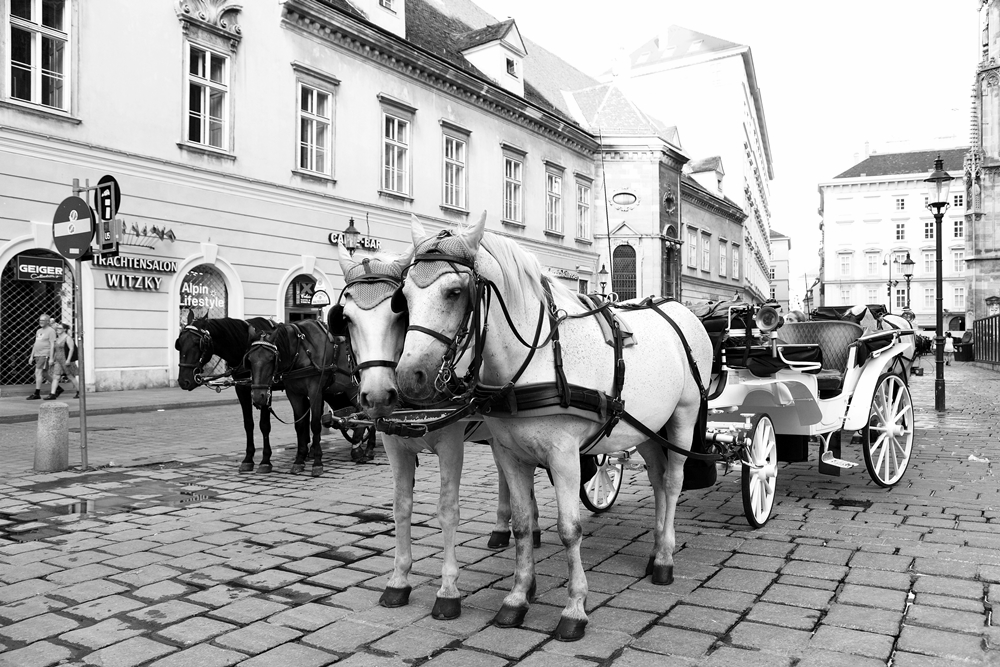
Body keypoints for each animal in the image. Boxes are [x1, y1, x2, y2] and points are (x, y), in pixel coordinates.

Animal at [176, 316, 278, 472]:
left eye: (198, 343)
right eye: (179, 343)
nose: (183, 381)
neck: (245, 346)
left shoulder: (266, 390)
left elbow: (264, 425)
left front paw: (265, 460)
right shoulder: (242, 389)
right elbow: (248, 424)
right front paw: (248, 459)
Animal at [246, 318, 356, 474]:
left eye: (271, 358)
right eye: (249, 359)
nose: (257, 397)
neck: (302, 351)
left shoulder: (315, 391)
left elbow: (315, 424)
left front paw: (317, 462)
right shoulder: (294, 394)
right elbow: (300, 426)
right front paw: (299, 460)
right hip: (350, 389)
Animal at [330, 248, 536, 624]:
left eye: (398, 315)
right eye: (347, 319)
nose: (377, 395)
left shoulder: (451, 445)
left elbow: (447, 510)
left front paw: (448, 589)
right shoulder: (394, 446)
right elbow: (401, 507)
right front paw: (398, 580)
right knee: (508, 476)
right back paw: (506, 530)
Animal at [390, 214, 712, 640]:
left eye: (455, 292)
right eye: (404, 298)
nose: (410, 378)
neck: (536, 358)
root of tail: (679, 308)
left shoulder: (564, 457)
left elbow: (569, 528)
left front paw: (574, 608)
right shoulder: (509, 453)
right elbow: (523, 525)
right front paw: (517, 599)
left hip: (682, 418)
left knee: (673, 483)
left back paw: (664, 560)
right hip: (644, 427)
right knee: (658, 479)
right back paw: (658, 547)